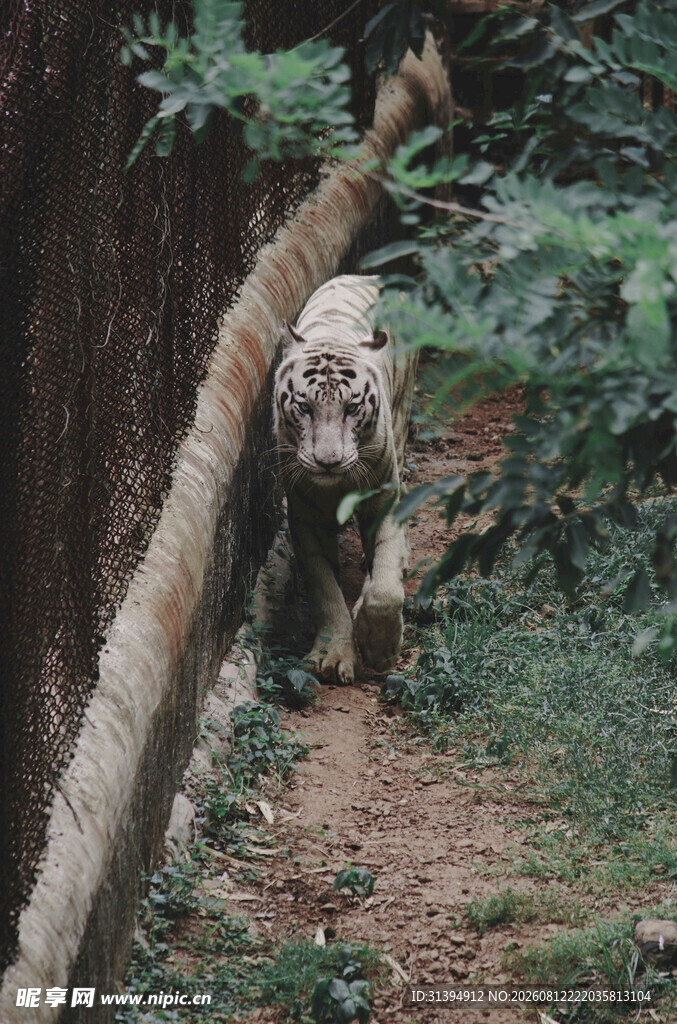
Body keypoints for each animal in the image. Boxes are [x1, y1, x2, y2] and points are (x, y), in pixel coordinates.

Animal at [273, 274, 417, 685]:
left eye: (352, 408)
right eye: (304, 407)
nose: (328, 462)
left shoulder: (383, 497)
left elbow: (384, 588)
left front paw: (379, 647)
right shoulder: (305, 515)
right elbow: (324, 588)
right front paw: (332, 654)